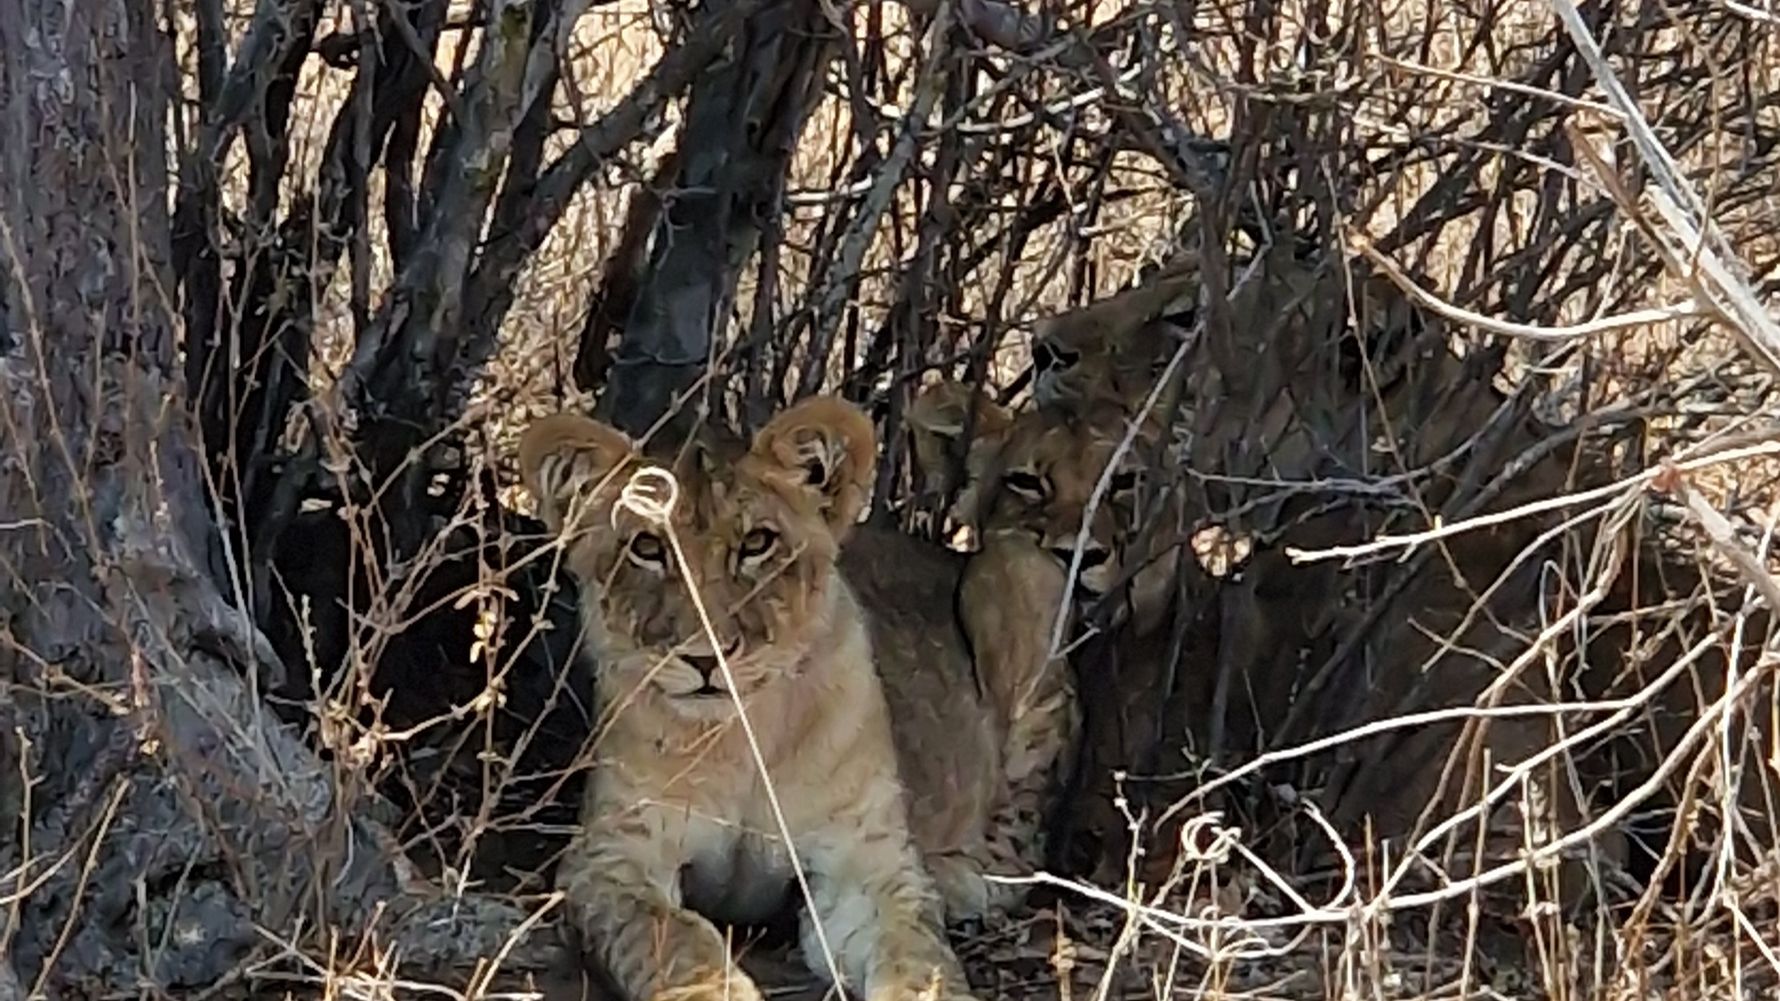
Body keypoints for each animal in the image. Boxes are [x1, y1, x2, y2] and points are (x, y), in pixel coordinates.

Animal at [519, 395, 1072, 1001]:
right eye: (647, 548)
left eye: (757, 544)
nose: (706, 657)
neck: (744, 737)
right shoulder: (610, 858)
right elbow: (675, 941)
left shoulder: (865, 866)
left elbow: (918, 957)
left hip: (1024, 567)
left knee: (1024, 832)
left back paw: (956, 882)